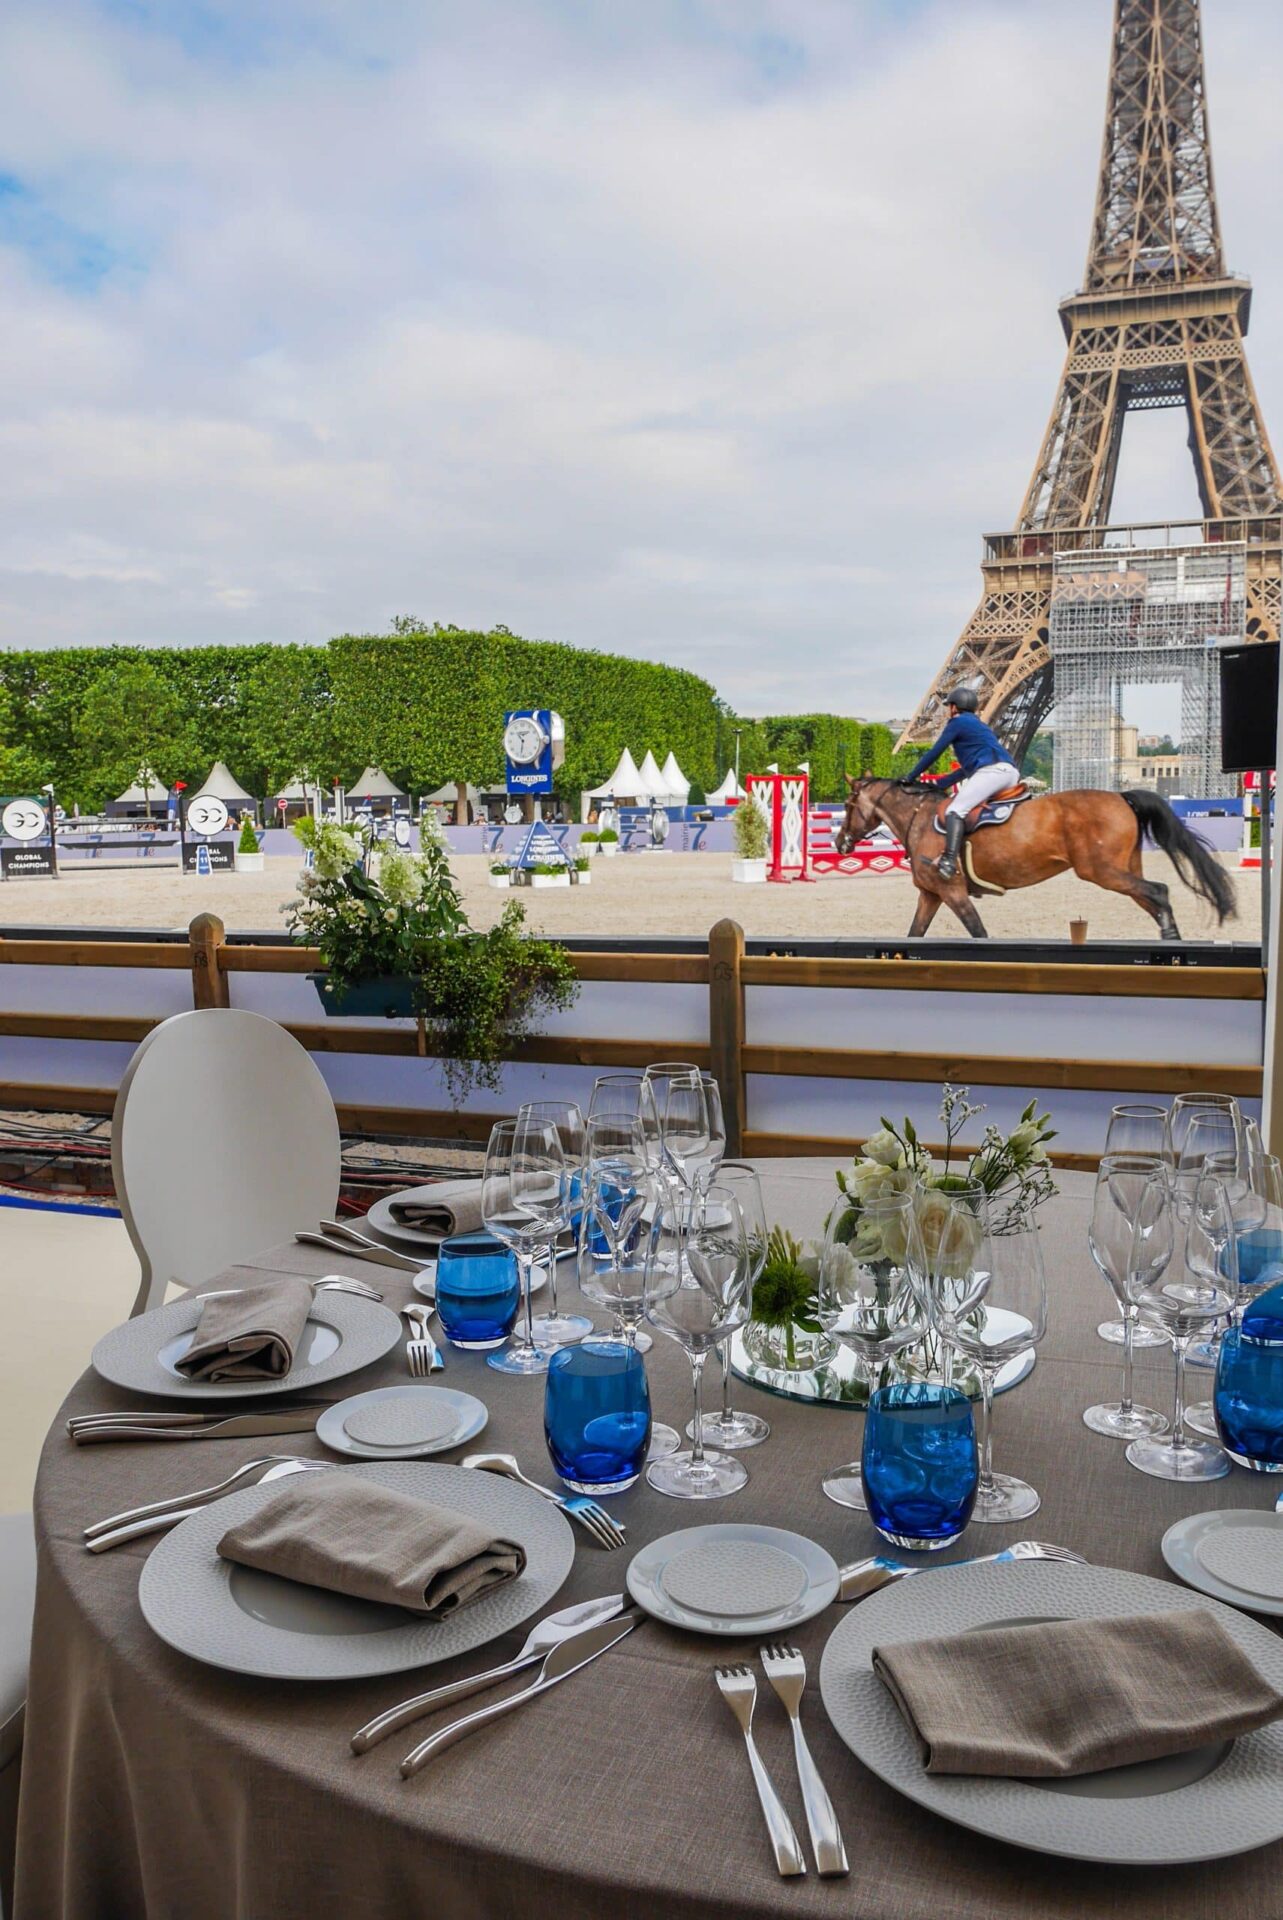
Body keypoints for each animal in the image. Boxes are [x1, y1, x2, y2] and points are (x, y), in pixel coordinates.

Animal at [837, 771, 1236, 936]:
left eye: (848, 803)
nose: (841, 843)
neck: (918, 816)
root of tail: (1121, 797)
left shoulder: (952, 892)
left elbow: (979, 932)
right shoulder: (931, 896)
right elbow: (913, 934)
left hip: (1103, 872)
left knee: (1159, 893)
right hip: (1122, 871)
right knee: (1153, 899)